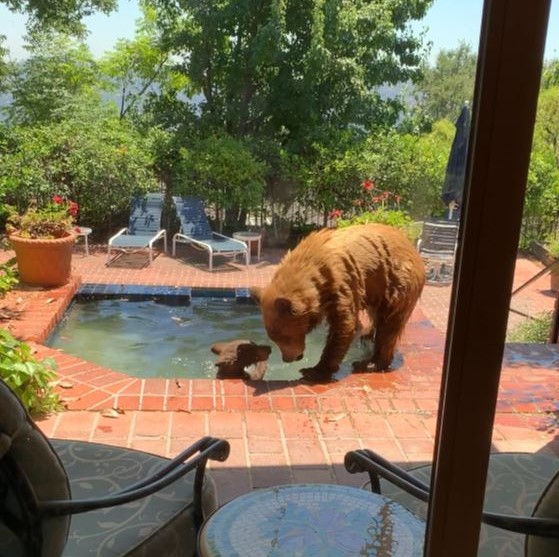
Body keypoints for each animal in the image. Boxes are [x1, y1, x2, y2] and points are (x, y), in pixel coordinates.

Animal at [252, 222, 426, 382]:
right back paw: (368, 335)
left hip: (398, 282)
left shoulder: (341, 280)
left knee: (389, 325)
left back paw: (369, 363)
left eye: (285, 337)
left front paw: (314, 371)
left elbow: (344, 325)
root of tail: (412, 248)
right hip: (379, 291)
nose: (288, 359)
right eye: (274, 338)